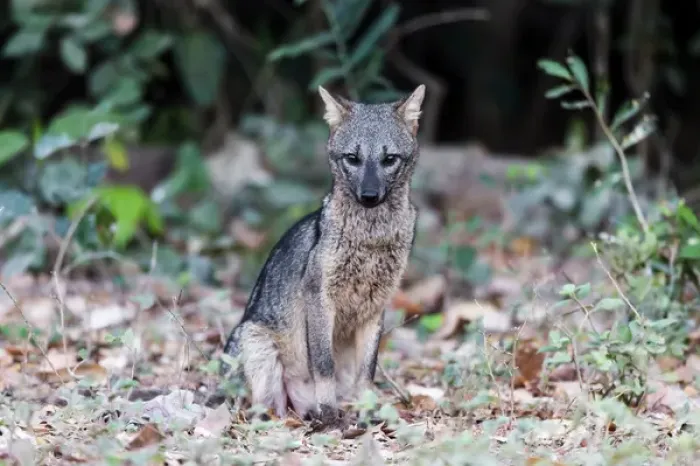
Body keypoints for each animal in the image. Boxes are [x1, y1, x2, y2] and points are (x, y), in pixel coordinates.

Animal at [220, 84, 426, 425]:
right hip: (257, 348)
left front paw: (367, 411)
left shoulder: (376, 307)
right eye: (353, 158)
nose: (369, 196)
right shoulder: (319, 298)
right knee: (262, 411)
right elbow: (323, 363)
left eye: (389, 159)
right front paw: (329, 411)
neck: (370, 240)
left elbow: (367, 372)